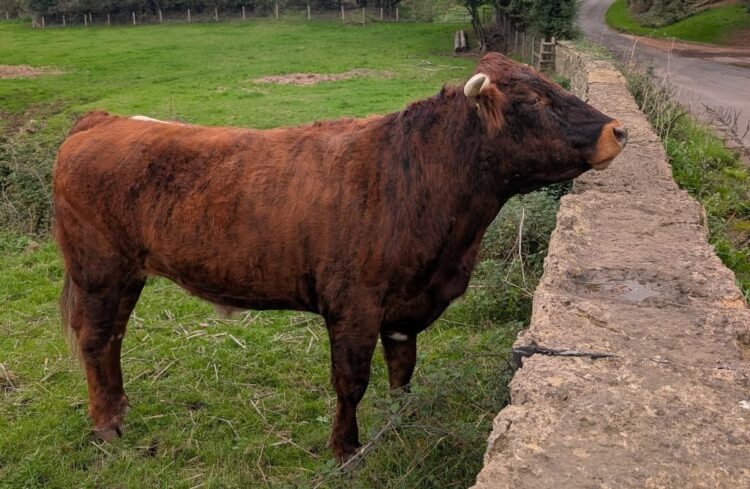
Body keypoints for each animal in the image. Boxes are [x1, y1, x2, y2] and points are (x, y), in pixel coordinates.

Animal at [53, 52, 627, 461]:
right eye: (532, 103)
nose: (618, 130)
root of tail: (102, 121)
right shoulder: (354, 307)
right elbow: (351, 382)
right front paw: (346, 449)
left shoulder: (403, 310)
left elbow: (402, 371)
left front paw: (403, 420)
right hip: (99, 272)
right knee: (96, 340)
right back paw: (108, 425)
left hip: (127, 275)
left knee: (113, 339)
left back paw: (119, 406)